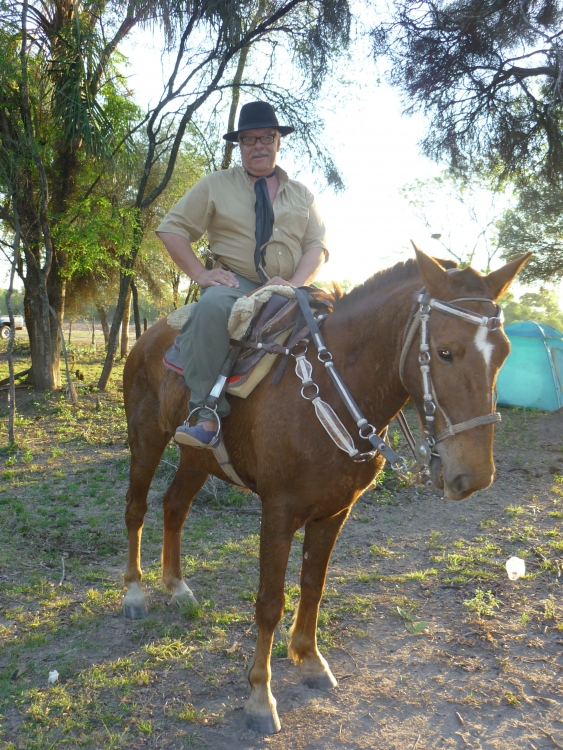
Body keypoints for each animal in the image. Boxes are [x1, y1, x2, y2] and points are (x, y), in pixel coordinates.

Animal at [122, 250, 528, 736]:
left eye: (504, 353)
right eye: (445, 352)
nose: (475, 475)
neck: (330, 388)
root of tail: (149, 337)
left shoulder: (335, 511)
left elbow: (313, 585)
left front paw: (310, 661)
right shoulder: (278, 512)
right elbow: (270, 603)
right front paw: (260, 697)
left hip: (196, 458)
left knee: (174, 507)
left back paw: (177, 585)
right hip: (146, 441)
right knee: (136, 509)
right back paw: (134, 593)